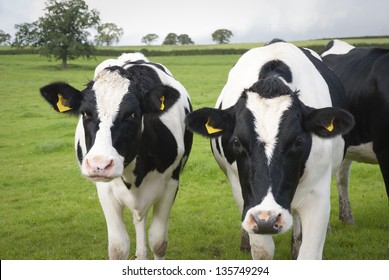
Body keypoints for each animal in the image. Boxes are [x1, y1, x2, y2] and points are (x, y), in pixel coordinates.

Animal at [186, 40, 354, 260]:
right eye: (236, 142)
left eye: (298, 141)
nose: (267, 219)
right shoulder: (245, 197)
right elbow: (262, 251)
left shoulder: (318, 196)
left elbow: (309, 254)